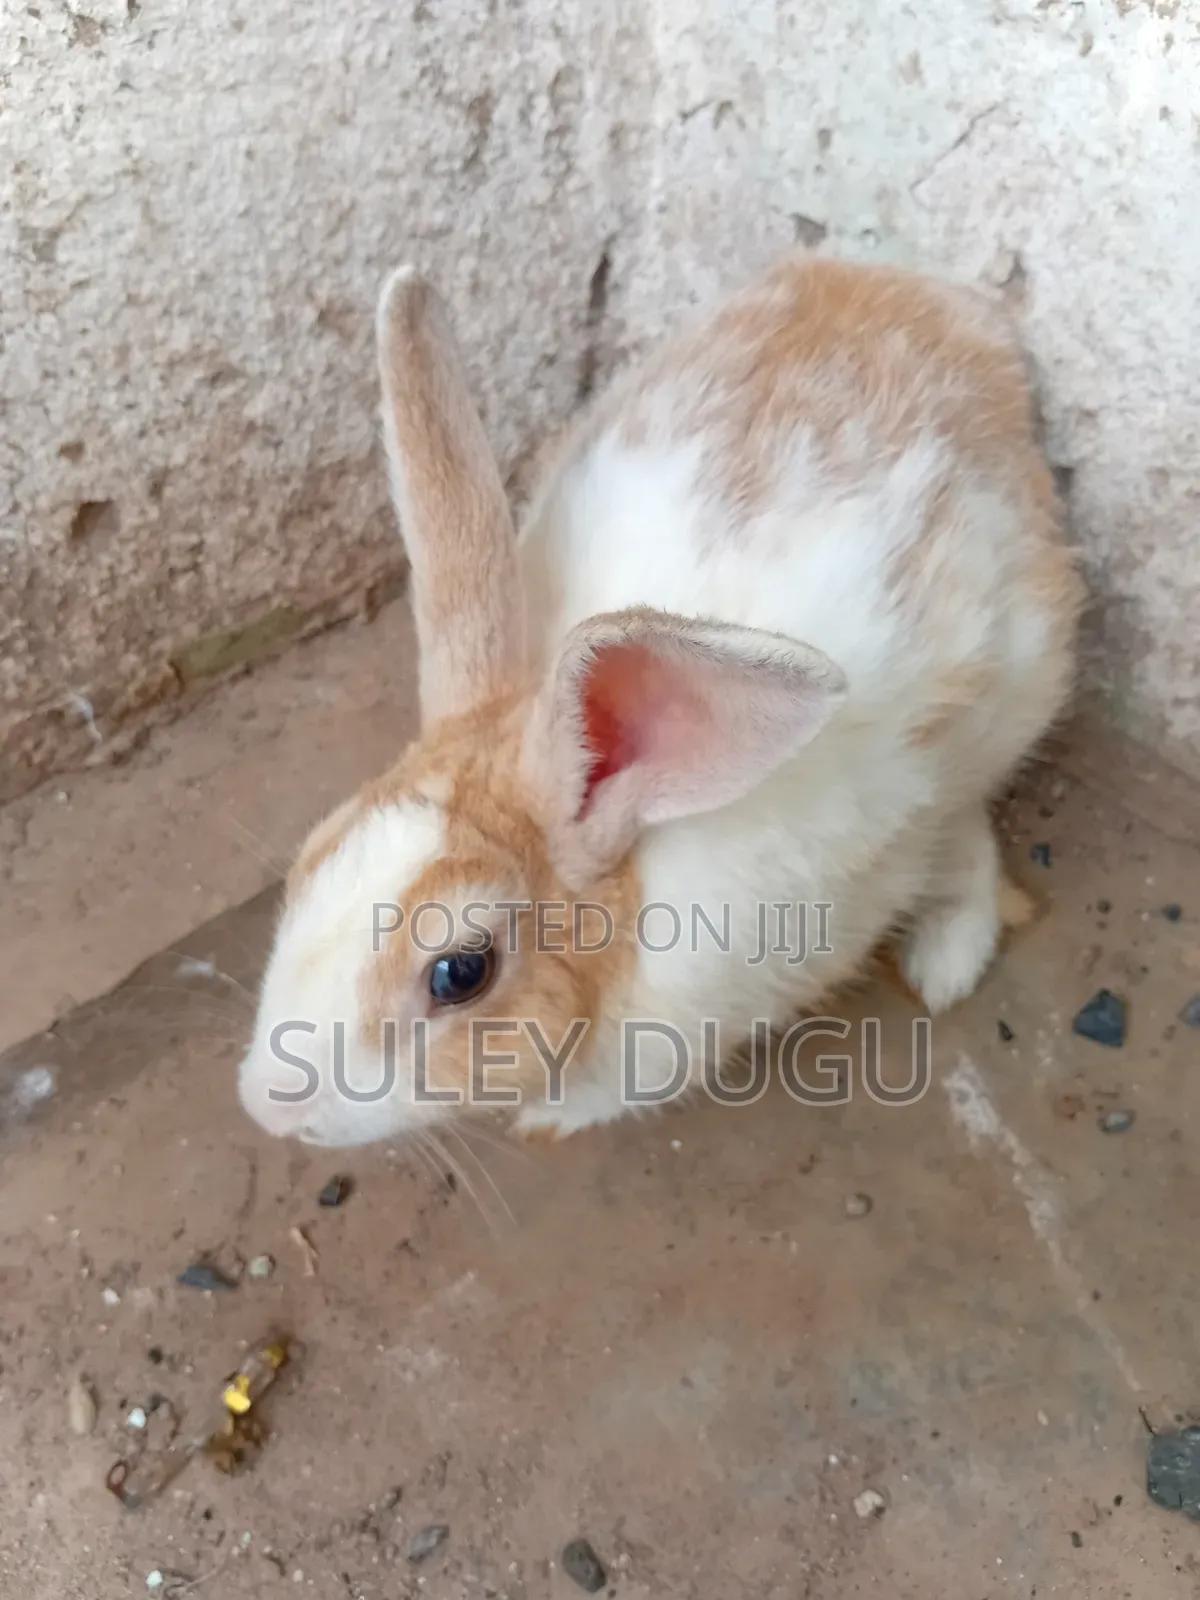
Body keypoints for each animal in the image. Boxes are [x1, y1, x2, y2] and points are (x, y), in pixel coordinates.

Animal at [237, 250, 1083, 1149]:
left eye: (461, 972)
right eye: (314, 853)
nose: (265, 1102)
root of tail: (959, 315)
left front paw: (546, 1120)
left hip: (992, 721)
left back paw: (946, 964)